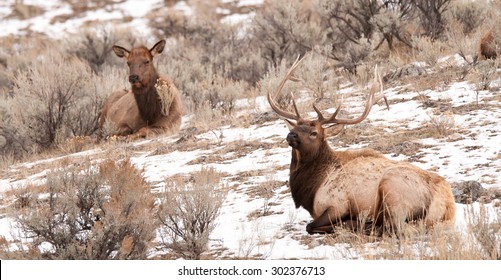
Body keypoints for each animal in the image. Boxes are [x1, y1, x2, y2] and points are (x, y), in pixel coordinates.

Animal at [268, 55, 456, 235]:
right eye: (296, 126)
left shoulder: (337, 204)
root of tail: (448, 206)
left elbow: (310, 226)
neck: (311, 189)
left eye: (314, 133)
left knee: (393, 228)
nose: (291, 135)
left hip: (392, 189)